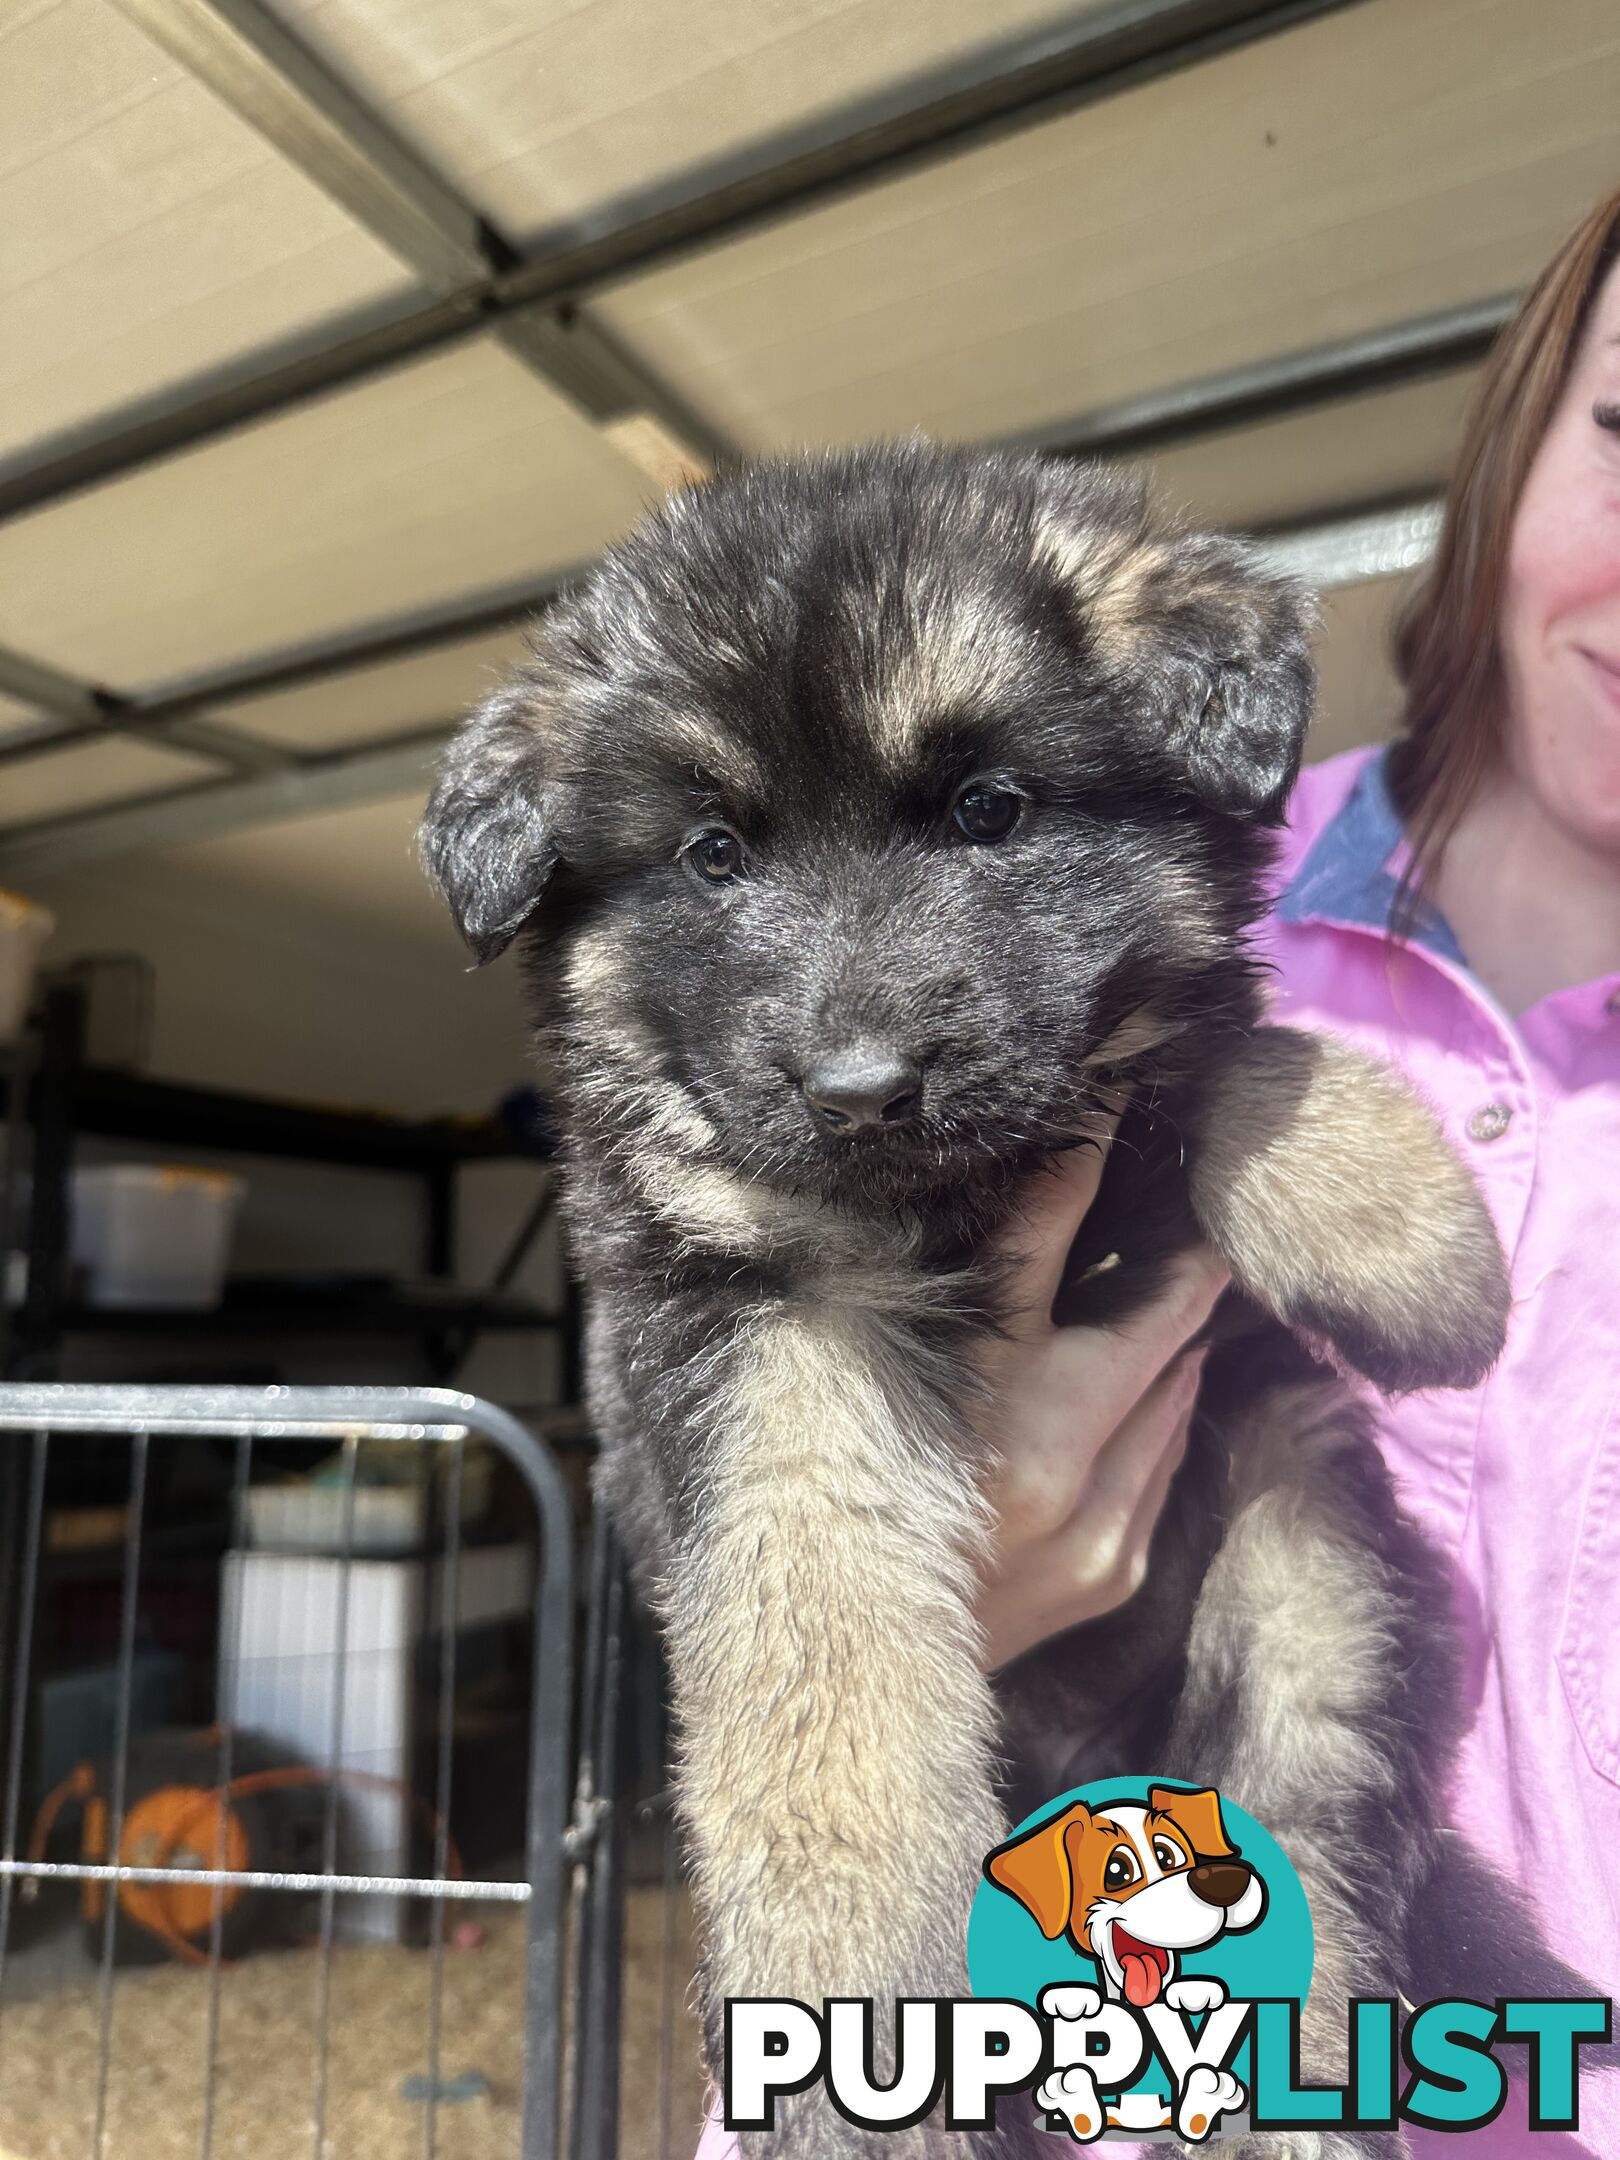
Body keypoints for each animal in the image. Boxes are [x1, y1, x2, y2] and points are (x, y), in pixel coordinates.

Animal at [425, 447, 1520, 2151]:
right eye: (712, 853)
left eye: (988, 810)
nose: (861, 1089)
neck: (968, 1196)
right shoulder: (760, 1329)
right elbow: (824, 1654)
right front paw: (849, 1958)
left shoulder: (1136, 1098)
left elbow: (1214, 1047)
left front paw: (1408, 1241)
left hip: (1309, 1555)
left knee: (1320, 1830)